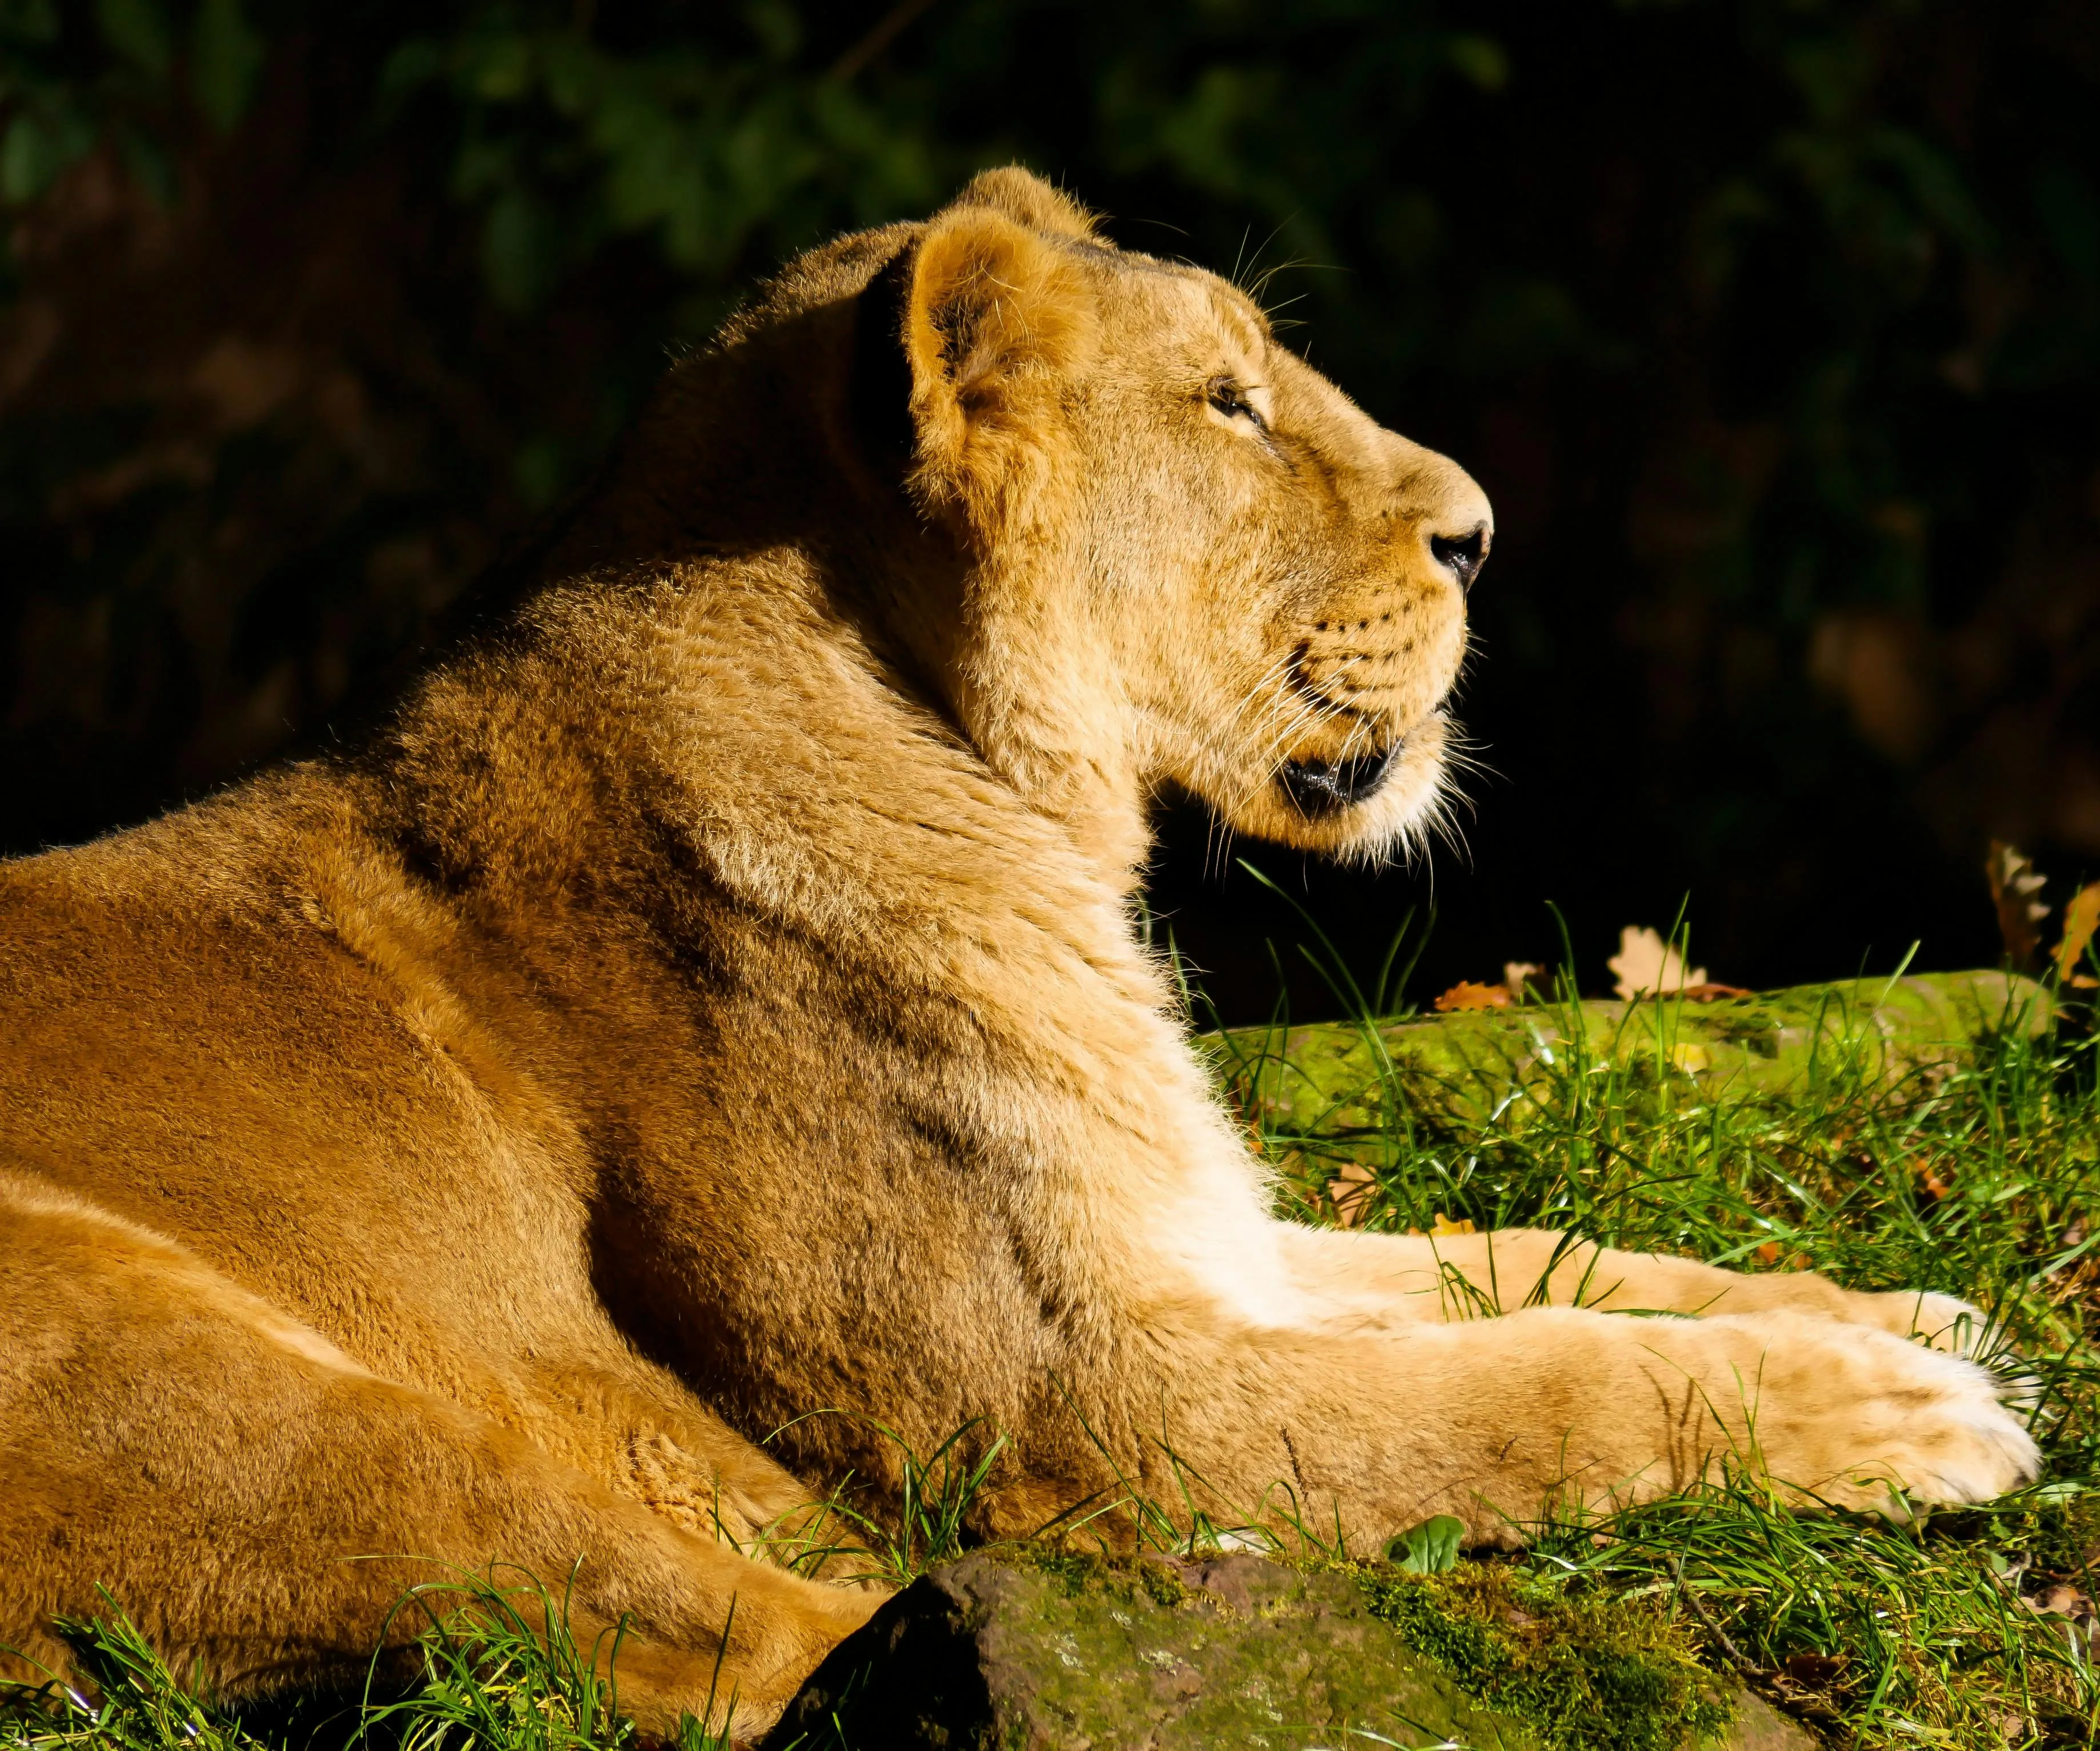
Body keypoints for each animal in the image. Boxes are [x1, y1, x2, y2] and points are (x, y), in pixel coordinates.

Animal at [0, 169, 2037, 1740]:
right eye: (1226, 404)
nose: (1480, 532)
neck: (1027, 810)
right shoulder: (1079, 1410)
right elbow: (1523, 1384)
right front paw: (1898, 1413)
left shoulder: (1180, 1237)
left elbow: (1533, 1260)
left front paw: (1892, 1316)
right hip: (246, 1390)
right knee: (744, 1656)